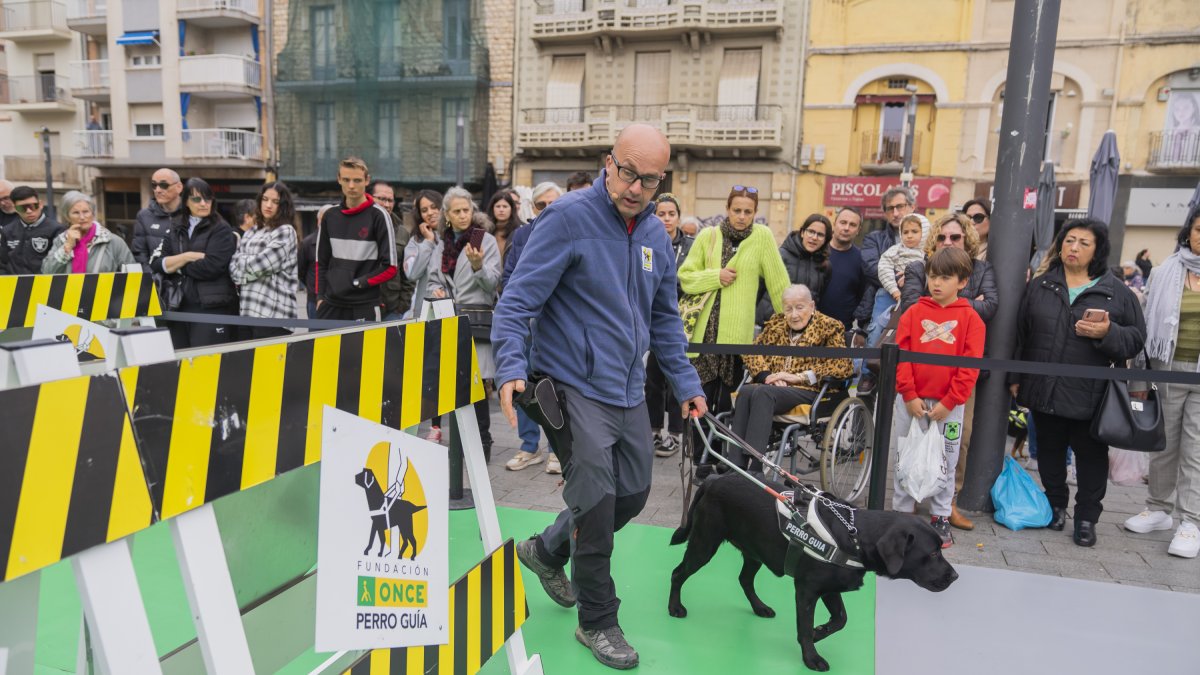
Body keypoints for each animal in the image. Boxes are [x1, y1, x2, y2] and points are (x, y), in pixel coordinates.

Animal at [667, 470, 955, 667]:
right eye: (932, 553)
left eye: (941, 549)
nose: (955, 576)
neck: (855, 536)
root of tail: (714, 479)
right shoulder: (807, 590)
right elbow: (805, 627)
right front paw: (811, 656)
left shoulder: (830, 588)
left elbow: (841, 619)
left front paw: (820, 632)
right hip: (704, 543)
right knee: (678, 573)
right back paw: (675, 608)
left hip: (755, 550)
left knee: (744, 579)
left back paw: (760, 607)